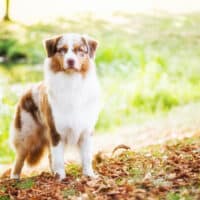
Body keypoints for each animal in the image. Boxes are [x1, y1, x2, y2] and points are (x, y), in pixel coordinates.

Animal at [9, 32, 101, 180]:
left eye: (80, 50)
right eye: (62, 50)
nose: (70, 61)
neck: (72, 83)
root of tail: (26, 90)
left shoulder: (86, 131)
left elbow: (86, 157)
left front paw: (89, 175)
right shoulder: (56, 131)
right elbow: (58, 158)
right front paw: (62, 178)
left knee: (49, 155)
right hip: (26, 134)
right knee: (20, 157)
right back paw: (15, 177)